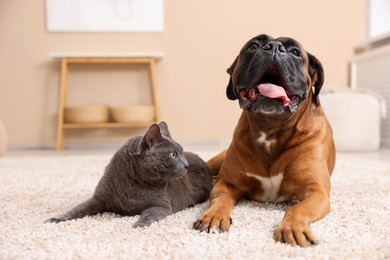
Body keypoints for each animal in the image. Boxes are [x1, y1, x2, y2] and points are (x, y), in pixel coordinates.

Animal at [45, 122, 213, 228]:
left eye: (182, 152)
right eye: (173, 155)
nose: (186, 165)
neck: (135, 182)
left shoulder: (162, 204)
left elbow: (150, 214)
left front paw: (139, 225)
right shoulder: (99, 198)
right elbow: (77, 209)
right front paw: (56, 218)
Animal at [194, 33, 336, 247]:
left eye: (295, 52)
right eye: (253, 45)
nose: (275, 47)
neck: (270, 129)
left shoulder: (316, 193)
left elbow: (296, 209)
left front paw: (292, 227)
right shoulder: (227, 184)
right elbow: (220, 199)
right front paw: (213, 216)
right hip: (215, 162)